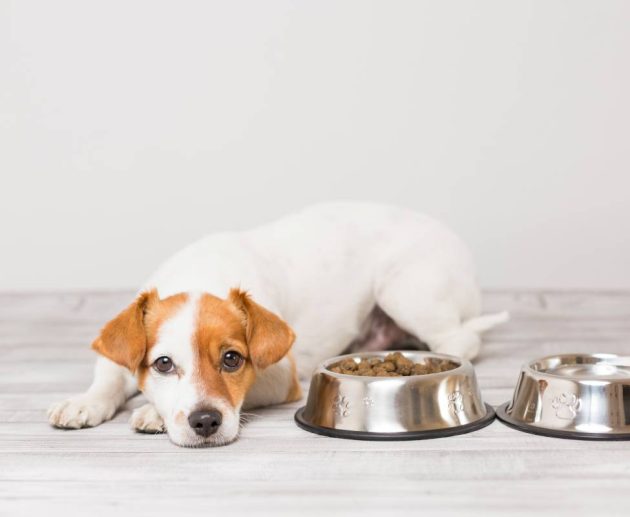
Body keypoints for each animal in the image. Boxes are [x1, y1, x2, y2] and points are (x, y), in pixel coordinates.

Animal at [50, 201, 512, 444]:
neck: (200, 275)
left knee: (461, 338)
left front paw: (151, 411)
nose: (205, 422)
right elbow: (109, 377)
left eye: (233, 360)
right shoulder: (120, 353)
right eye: (163, 363)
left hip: (405, 292)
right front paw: (84, 402)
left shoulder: (279, 376)